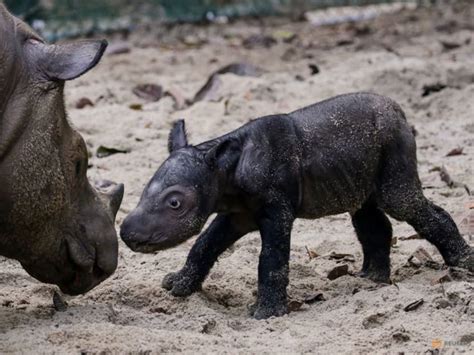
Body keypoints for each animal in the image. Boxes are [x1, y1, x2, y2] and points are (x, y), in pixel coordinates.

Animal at [120, 92, 472, 320]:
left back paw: (463, 265)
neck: (223, 169)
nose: (127, 233)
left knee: (402, 203)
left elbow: (272, 258)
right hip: (361, 164)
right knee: (366, 213)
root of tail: (399, 110)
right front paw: (177, 287)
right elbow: (205, 245)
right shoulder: (236, 212)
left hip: (394, 144)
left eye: (175, 203)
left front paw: (265, 315)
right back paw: (371, 280)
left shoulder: (276, 208)